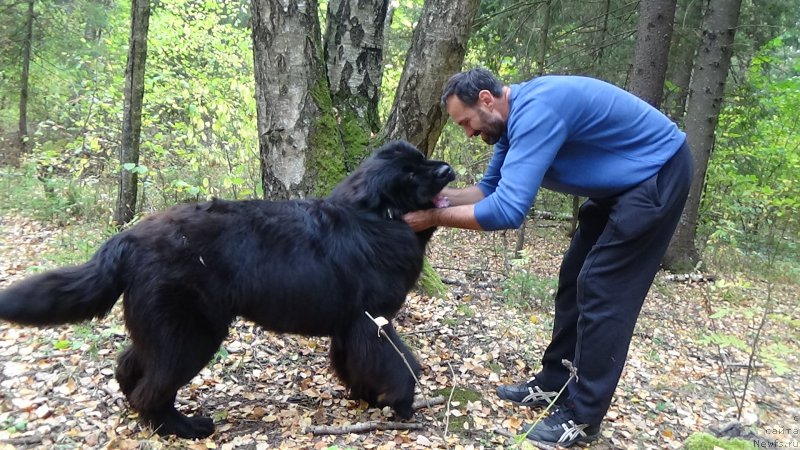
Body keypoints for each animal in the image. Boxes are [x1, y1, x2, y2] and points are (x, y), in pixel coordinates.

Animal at [0, 140, 454, 436]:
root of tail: (128, 238)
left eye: (422, 158)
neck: (379, 217)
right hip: (192, 333)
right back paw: (180, 427)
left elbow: (365, 362)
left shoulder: (351, 327)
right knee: (153, 385)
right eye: (411, 172)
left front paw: (367, 395)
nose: (448, 169)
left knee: (129, 365)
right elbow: (399, 365)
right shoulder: (371, 321)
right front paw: (401, 402)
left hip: (164, 329)